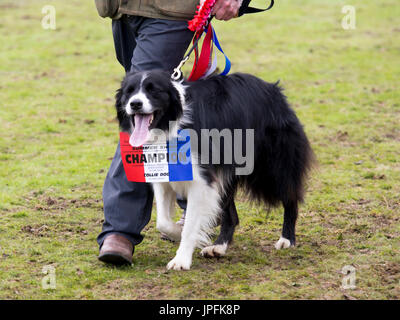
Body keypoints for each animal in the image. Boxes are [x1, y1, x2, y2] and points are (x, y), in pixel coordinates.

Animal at [114, 70, 314, 270]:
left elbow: (190, 224)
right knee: (231, 215)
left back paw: (287, 239)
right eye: (129, 92)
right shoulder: (162, 177)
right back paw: (218, 247)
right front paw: (177, 232)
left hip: (272, 166)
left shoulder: (200, 180)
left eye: (153, 90)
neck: (171, 124)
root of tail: (273, 89)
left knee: (290, 197)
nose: (135, 104)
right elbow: (162, 222)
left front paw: (181, 259)